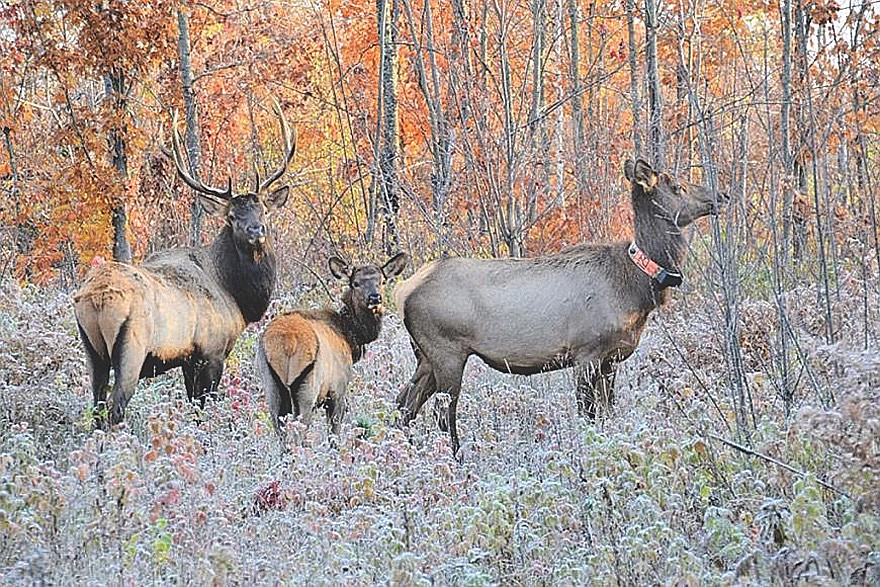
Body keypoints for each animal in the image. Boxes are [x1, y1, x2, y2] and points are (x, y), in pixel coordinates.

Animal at [73, 99, 296, 427]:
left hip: (92, 351)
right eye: (231, 217)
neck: (236, 297)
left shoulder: (188, 360)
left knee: (97, 408)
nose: (256, 231)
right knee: (115, 408)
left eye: (264, 211)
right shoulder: (211, 351)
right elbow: (203, 408)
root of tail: (96, 297)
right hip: (130, 347)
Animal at [255, 253, 408, 439]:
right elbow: (334, 433)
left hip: (272, 387)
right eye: (355, 283)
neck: (351, 337)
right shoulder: (337, 391)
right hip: (307, 390)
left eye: (382, 281)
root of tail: (288, 343)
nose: (374, 297)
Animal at [395, 158, 729, 455]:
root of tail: (403, 292)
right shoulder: (586, 353)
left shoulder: (611, 360)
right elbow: (588, 415)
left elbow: (608, 413)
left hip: (425, 356)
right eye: (677, 186)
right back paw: (456, 459)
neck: (635, 287)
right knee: (441, 414)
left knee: (403, 404)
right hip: (447, 351)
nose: (722, 195)